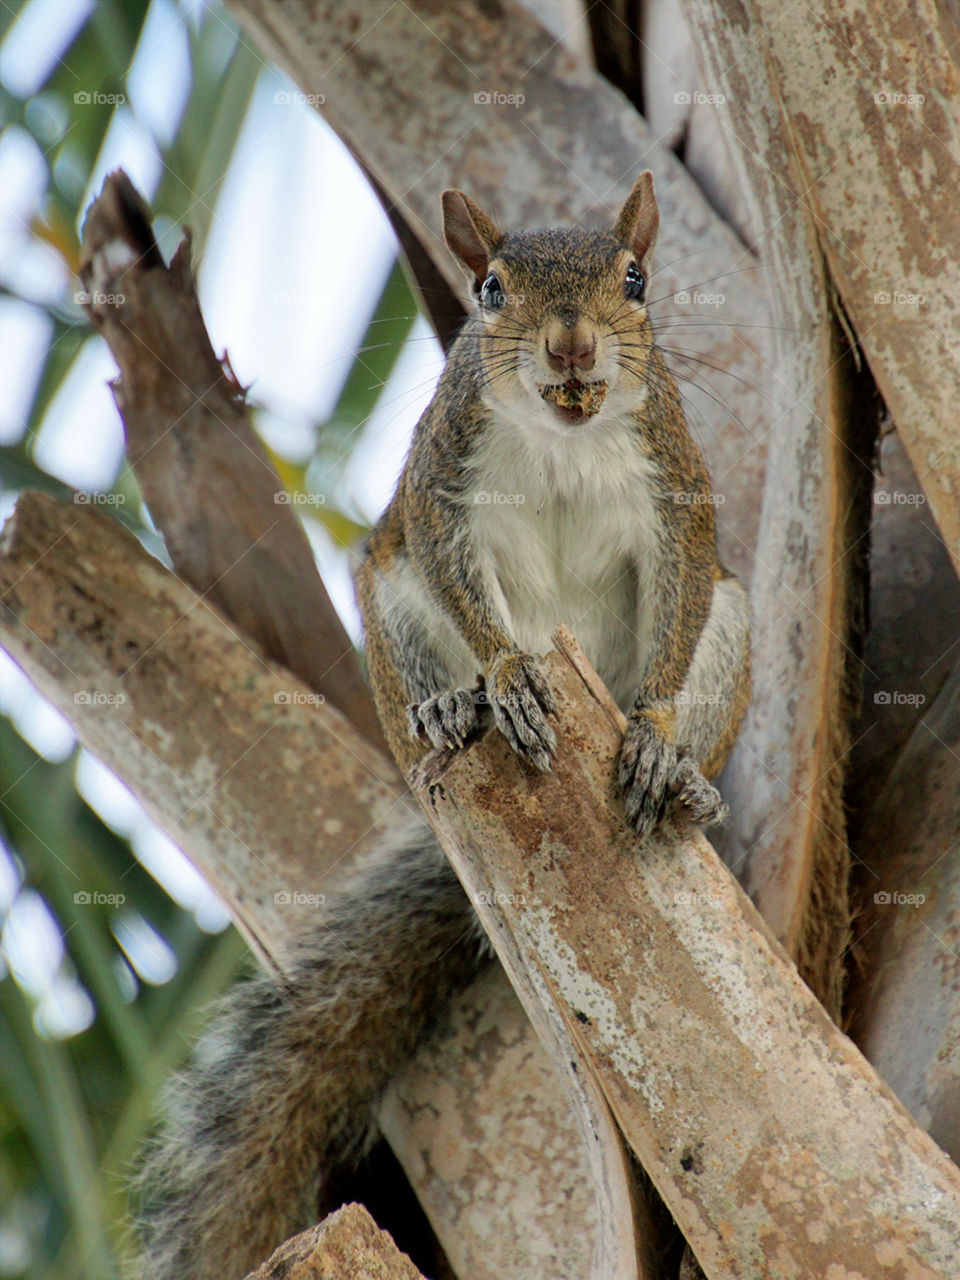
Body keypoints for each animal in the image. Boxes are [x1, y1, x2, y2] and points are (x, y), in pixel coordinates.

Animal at [134, 171, 751, 1280]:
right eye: (490, 288)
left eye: (636, 279)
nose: (571, 345)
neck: (564, 436)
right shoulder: (441, 486)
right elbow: (460, 577)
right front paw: (503, 674)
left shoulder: (675, 487)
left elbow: (680, 598)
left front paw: (653, 730)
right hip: (391, 611)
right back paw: (450, 708)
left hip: (738, 626)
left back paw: (684, 778)